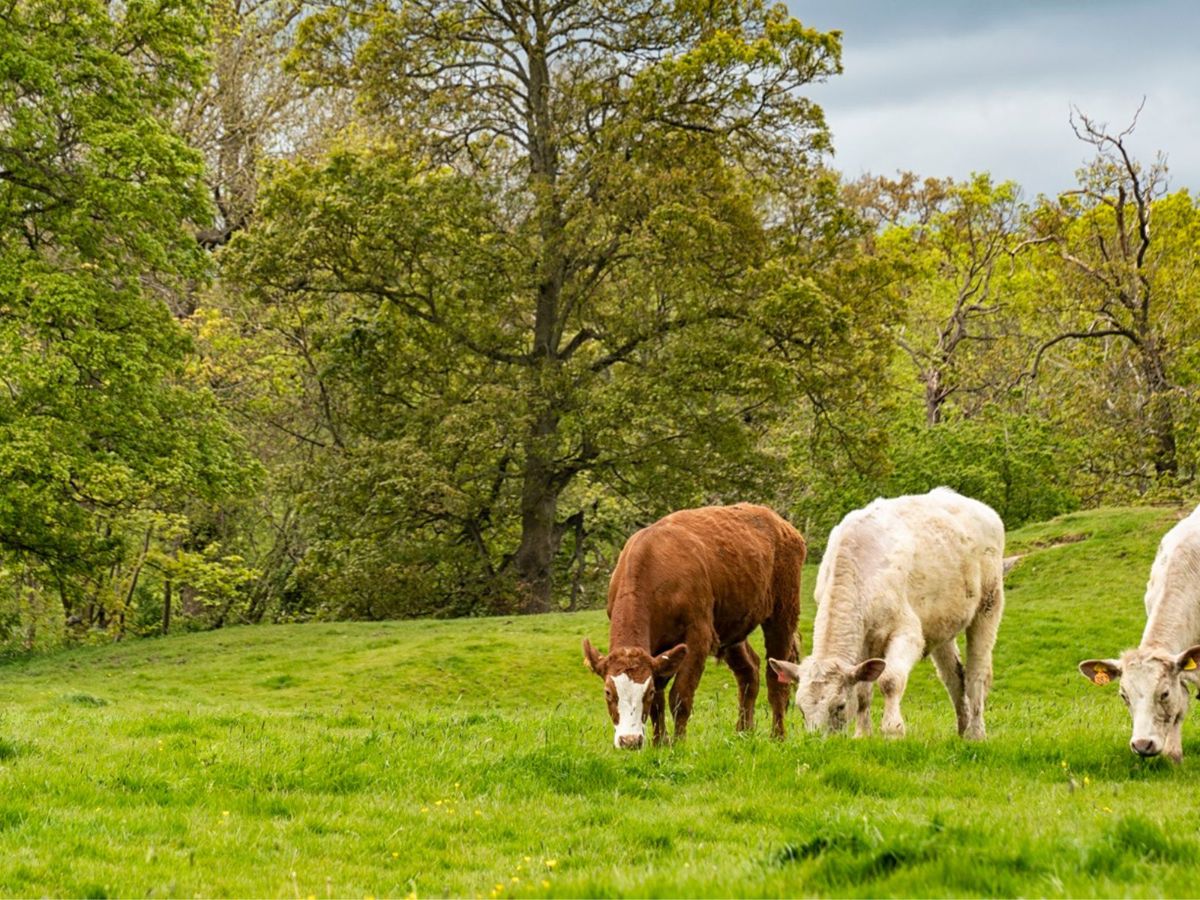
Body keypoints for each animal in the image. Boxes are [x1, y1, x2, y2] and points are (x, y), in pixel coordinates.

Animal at [582, 503, 806, 749]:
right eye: (608, 692)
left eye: (646, 692)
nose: (629, 741)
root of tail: (778, 521)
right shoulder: (658, 652)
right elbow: (659, 702)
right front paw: (659, 743)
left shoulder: (698, 635)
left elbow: (680, 696)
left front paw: (678, 744)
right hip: (731, 625)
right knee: (749, 670)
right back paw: (743, 733)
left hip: (783, 611)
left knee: (776, 678)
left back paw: (777, 737)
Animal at [769, 487, 1005, 740]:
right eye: (801, 709)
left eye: (839, 706)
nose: (816, 741)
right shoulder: (864, 643)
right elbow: (863, 691)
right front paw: (862, 734)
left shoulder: (908, 633)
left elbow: (890, 681)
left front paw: (893, 731)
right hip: (942, 623)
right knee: (953, 677)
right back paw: (962, 730)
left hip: (989, 604)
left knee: (976, 675)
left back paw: (976, 733)